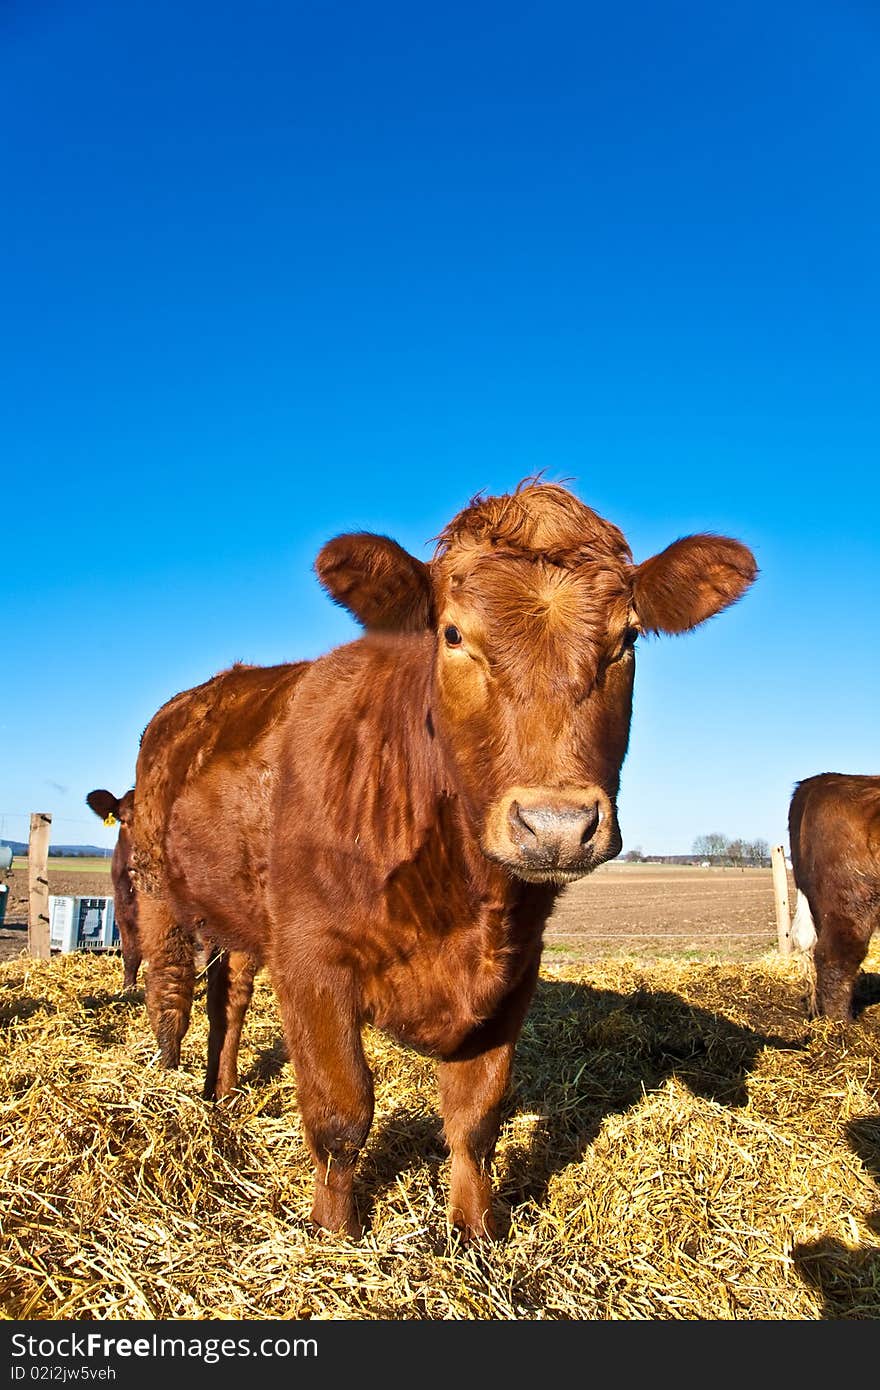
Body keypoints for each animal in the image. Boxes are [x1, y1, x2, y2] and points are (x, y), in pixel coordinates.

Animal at [128, 480, 756, 1239]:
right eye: (453, 635)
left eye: (627, 639)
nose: (556, 826)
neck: (460, 897)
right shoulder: (311, 959)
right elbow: (341, 1113)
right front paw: (334, 1235)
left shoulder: (514, 971)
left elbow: (476, 1115)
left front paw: (475, 1232)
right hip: (157, 888)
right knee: (170, 992)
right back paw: (167, 1087)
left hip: (243, 915)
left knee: (230, 997)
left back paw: (218, 1097)